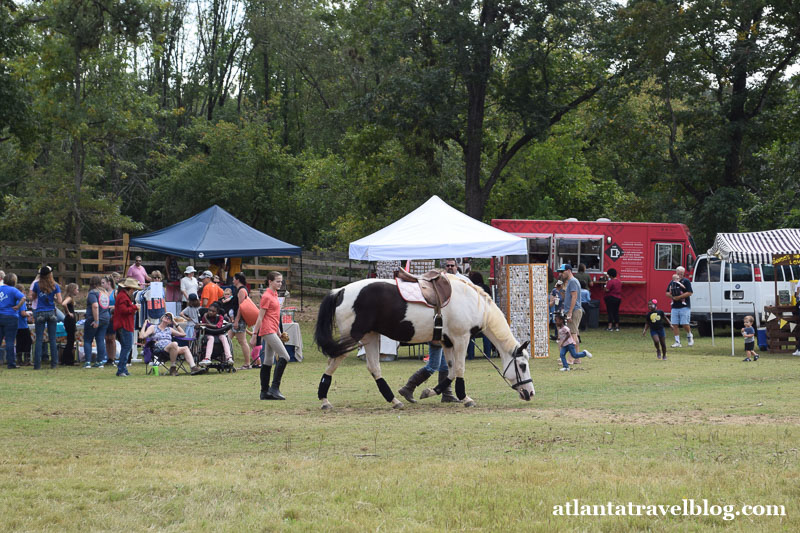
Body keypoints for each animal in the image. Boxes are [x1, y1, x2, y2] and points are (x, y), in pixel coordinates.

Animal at [316, 272, 536, 410]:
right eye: (522, 365)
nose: (531, 393)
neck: (472, 303)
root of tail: (341, 290)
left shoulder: (448, 342)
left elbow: (450, 371)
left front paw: (431, 391)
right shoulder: (461, 339)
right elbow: (459, 369)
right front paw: (465, 398)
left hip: (370, 337)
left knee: (374, 368)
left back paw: (394, 400)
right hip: (351, 339)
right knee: (333, 364)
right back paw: (324, 400)